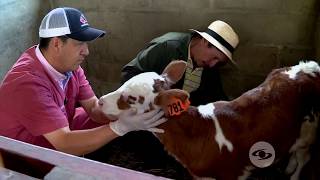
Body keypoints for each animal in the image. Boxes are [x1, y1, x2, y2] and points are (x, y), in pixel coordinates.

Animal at [99, 60, 320, 180]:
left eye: (131, 98)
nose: (100, 101)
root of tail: (308, 66)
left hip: (309, 131)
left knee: (304, 158)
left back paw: (294, 174)